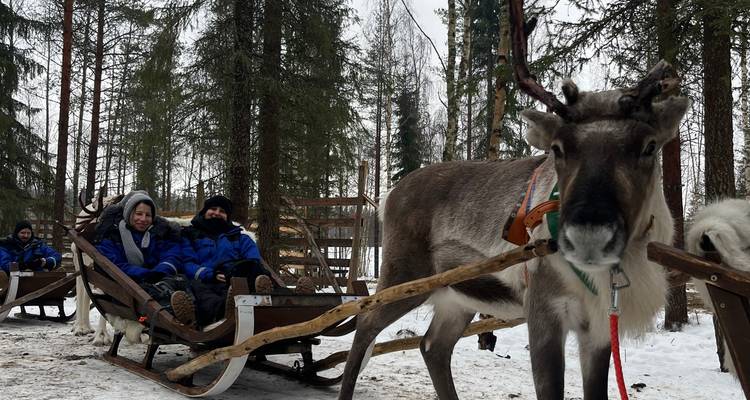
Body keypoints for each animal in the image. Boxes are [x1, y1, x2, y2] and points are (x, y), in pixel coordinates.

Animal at [337, 1, 690, 399]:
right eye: (558, 148)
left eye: (649, 146)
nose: (590, 235)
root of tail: (388, 195)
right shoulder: (544, 311)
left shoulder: (599, 326)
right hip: (403, 275)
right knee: (365, 325)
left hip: (457, 295)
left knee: (432, 345)